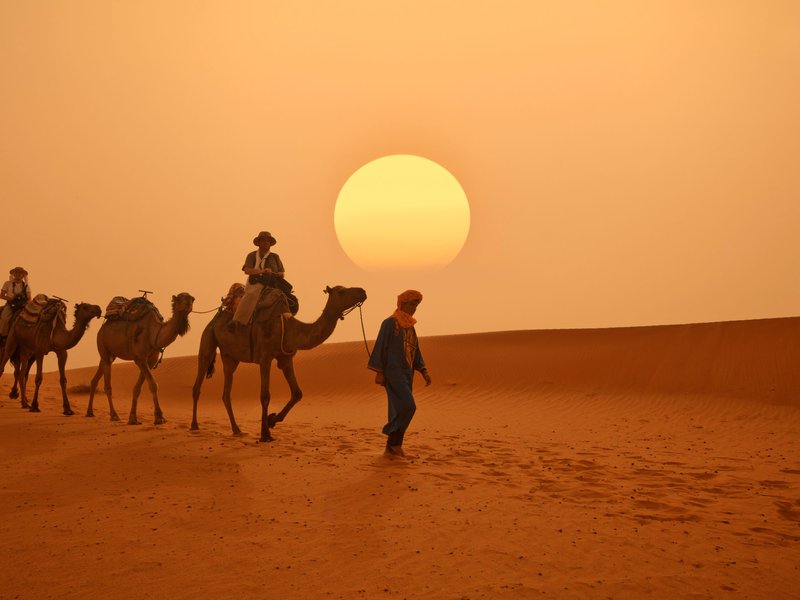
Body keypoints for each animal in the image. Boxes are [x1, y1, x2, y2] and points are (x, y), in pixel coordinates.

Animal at [86, 292, 195, 424]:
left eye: (192, 299)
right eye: (180, 298)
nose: (189, 302)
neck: (154, 333)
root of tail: (102, 329)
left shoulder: (151, 360)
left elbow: (137, 388)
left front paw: (133, 418)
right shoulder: (140, 358)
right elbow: (153, 384)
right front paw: (159, 417)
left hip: (110, 355)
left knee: (95, 378)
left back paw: (89, 412)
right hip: (102, 344)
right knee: (107, 385)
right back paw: (114, 415)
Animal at [191, 284, 366, 442]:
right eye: (341, 291)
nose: (362, 291)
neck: (289, 328)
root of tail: (216, 317)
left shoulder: (286, 359)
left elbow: (297, 393)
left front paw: (272, 420)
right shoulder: (265, 357)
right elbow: (265, 396)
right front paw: (265, 434)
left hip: (230, 357)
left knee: (226, 393)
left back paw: (237, 429)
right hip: (208, 339)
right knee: (199, 381)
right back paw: (194, 425)